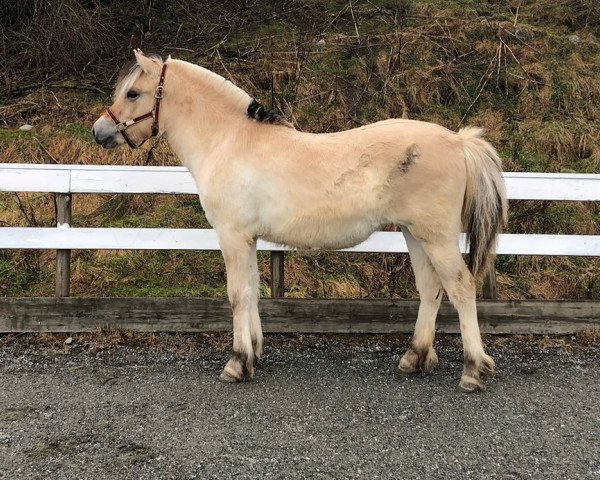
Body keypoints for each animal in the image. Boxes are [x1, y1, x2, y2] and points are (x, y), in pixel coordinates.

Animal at [92, 49, 506, 394]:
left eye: (133, 93)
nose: (99, 131)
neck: (229, 141)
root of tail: (459, 141)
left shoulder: (232, 236)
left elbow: (237, 294)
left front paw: (237, 363)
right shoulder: (248, 238)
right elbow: (252, 293)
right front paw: (254, 353)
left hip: (435, 236)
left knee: (460, 287)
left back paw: (472, 370)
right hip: (414, 234)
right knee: (430, 288)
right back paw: (415, 357)